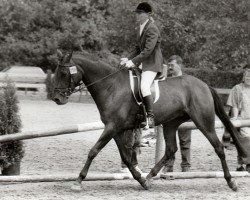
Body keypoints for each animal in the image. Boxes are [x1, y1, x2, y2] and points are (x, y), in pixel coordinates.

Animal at [52, 50, 246, 191]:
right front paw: (141, 180)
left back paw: (231, 182)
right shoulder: (115, 129)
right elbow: (127, 157)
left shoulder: (112, 127)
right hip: (170, 123)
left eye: (63, 73)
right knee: (171, 149)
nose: (57, 99)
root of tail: (204, 85)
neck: (111, 86)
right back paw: (150, 177)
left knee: (218, 147)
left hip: (203, 122)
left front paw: (78, 181)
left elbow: (93, 151)